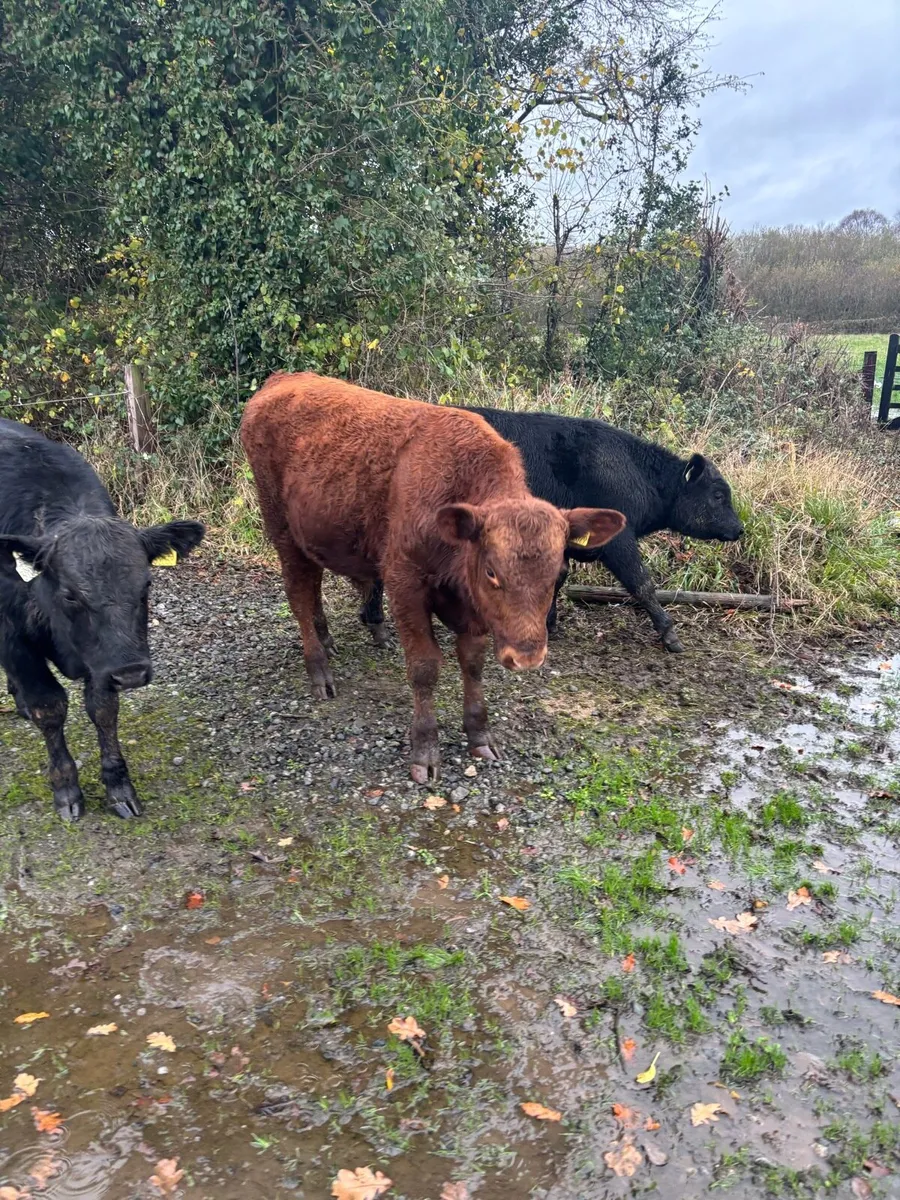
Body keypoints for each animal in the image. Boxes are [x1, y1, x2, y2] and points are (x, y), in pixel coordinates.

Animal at [0, 418, 205, 820]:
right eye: (70, 594)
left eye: (147, 584)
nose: (132, 673)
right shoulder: (12, 636)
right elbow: (50, 706)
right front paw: (66, 788)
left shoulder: (104, 659)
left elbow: (104, 709)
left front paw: (118, 786)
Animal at [240, 373, 625, 783]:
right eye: (492, 571)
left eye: (557, 573)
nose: (526, 657)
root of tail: (285, 379)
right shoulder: (404, 584)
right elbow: (424, 668)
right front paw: (424, 750)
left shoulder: (472, 610)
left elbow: (472, 663)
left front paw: (479, 735)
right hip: (282, 530)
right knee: (299, 594)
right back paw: (319, 671)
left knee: (313, 588)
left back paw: (327, 641)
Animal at [361, 407, 743, 653]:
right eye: (718, 494)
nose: (739, 528)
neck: (633, 471)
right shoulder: (620, 543)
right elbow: (643, 584)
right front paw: (670, 634)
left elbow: (557, 577)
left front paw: (548, 622)